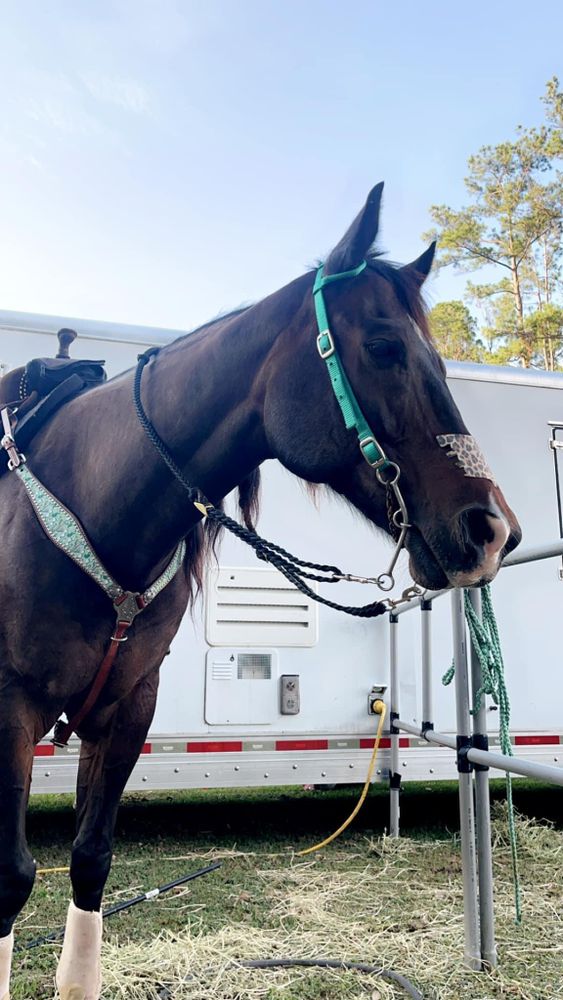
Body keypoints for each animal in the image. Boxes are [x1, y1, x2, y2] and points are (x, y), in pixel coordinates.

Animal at [0, 186, 520, 1000]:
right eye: (383, 348)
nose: (493, 529)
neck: (95, 503)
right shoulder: (10, 704)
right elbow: (14, 879)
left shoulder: (128, 707)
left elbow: (90, 859)